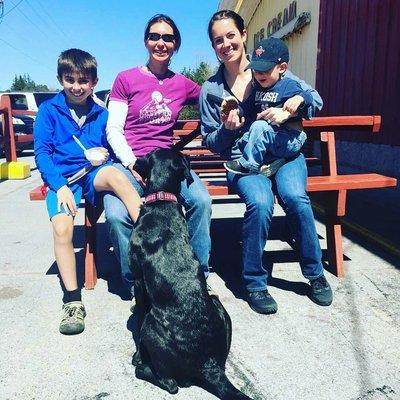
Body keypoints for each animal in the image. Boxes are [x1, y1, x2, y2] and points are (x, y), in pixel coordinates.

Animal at [130, 148, 252, 398]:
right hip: (219, 307)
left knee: (170, 384)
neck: (162, 201)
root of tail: (208, 365)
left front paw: (137, 354)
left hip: (151, 326)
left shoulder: (138, 281)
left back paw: (143, 367)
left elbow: (137, 318)